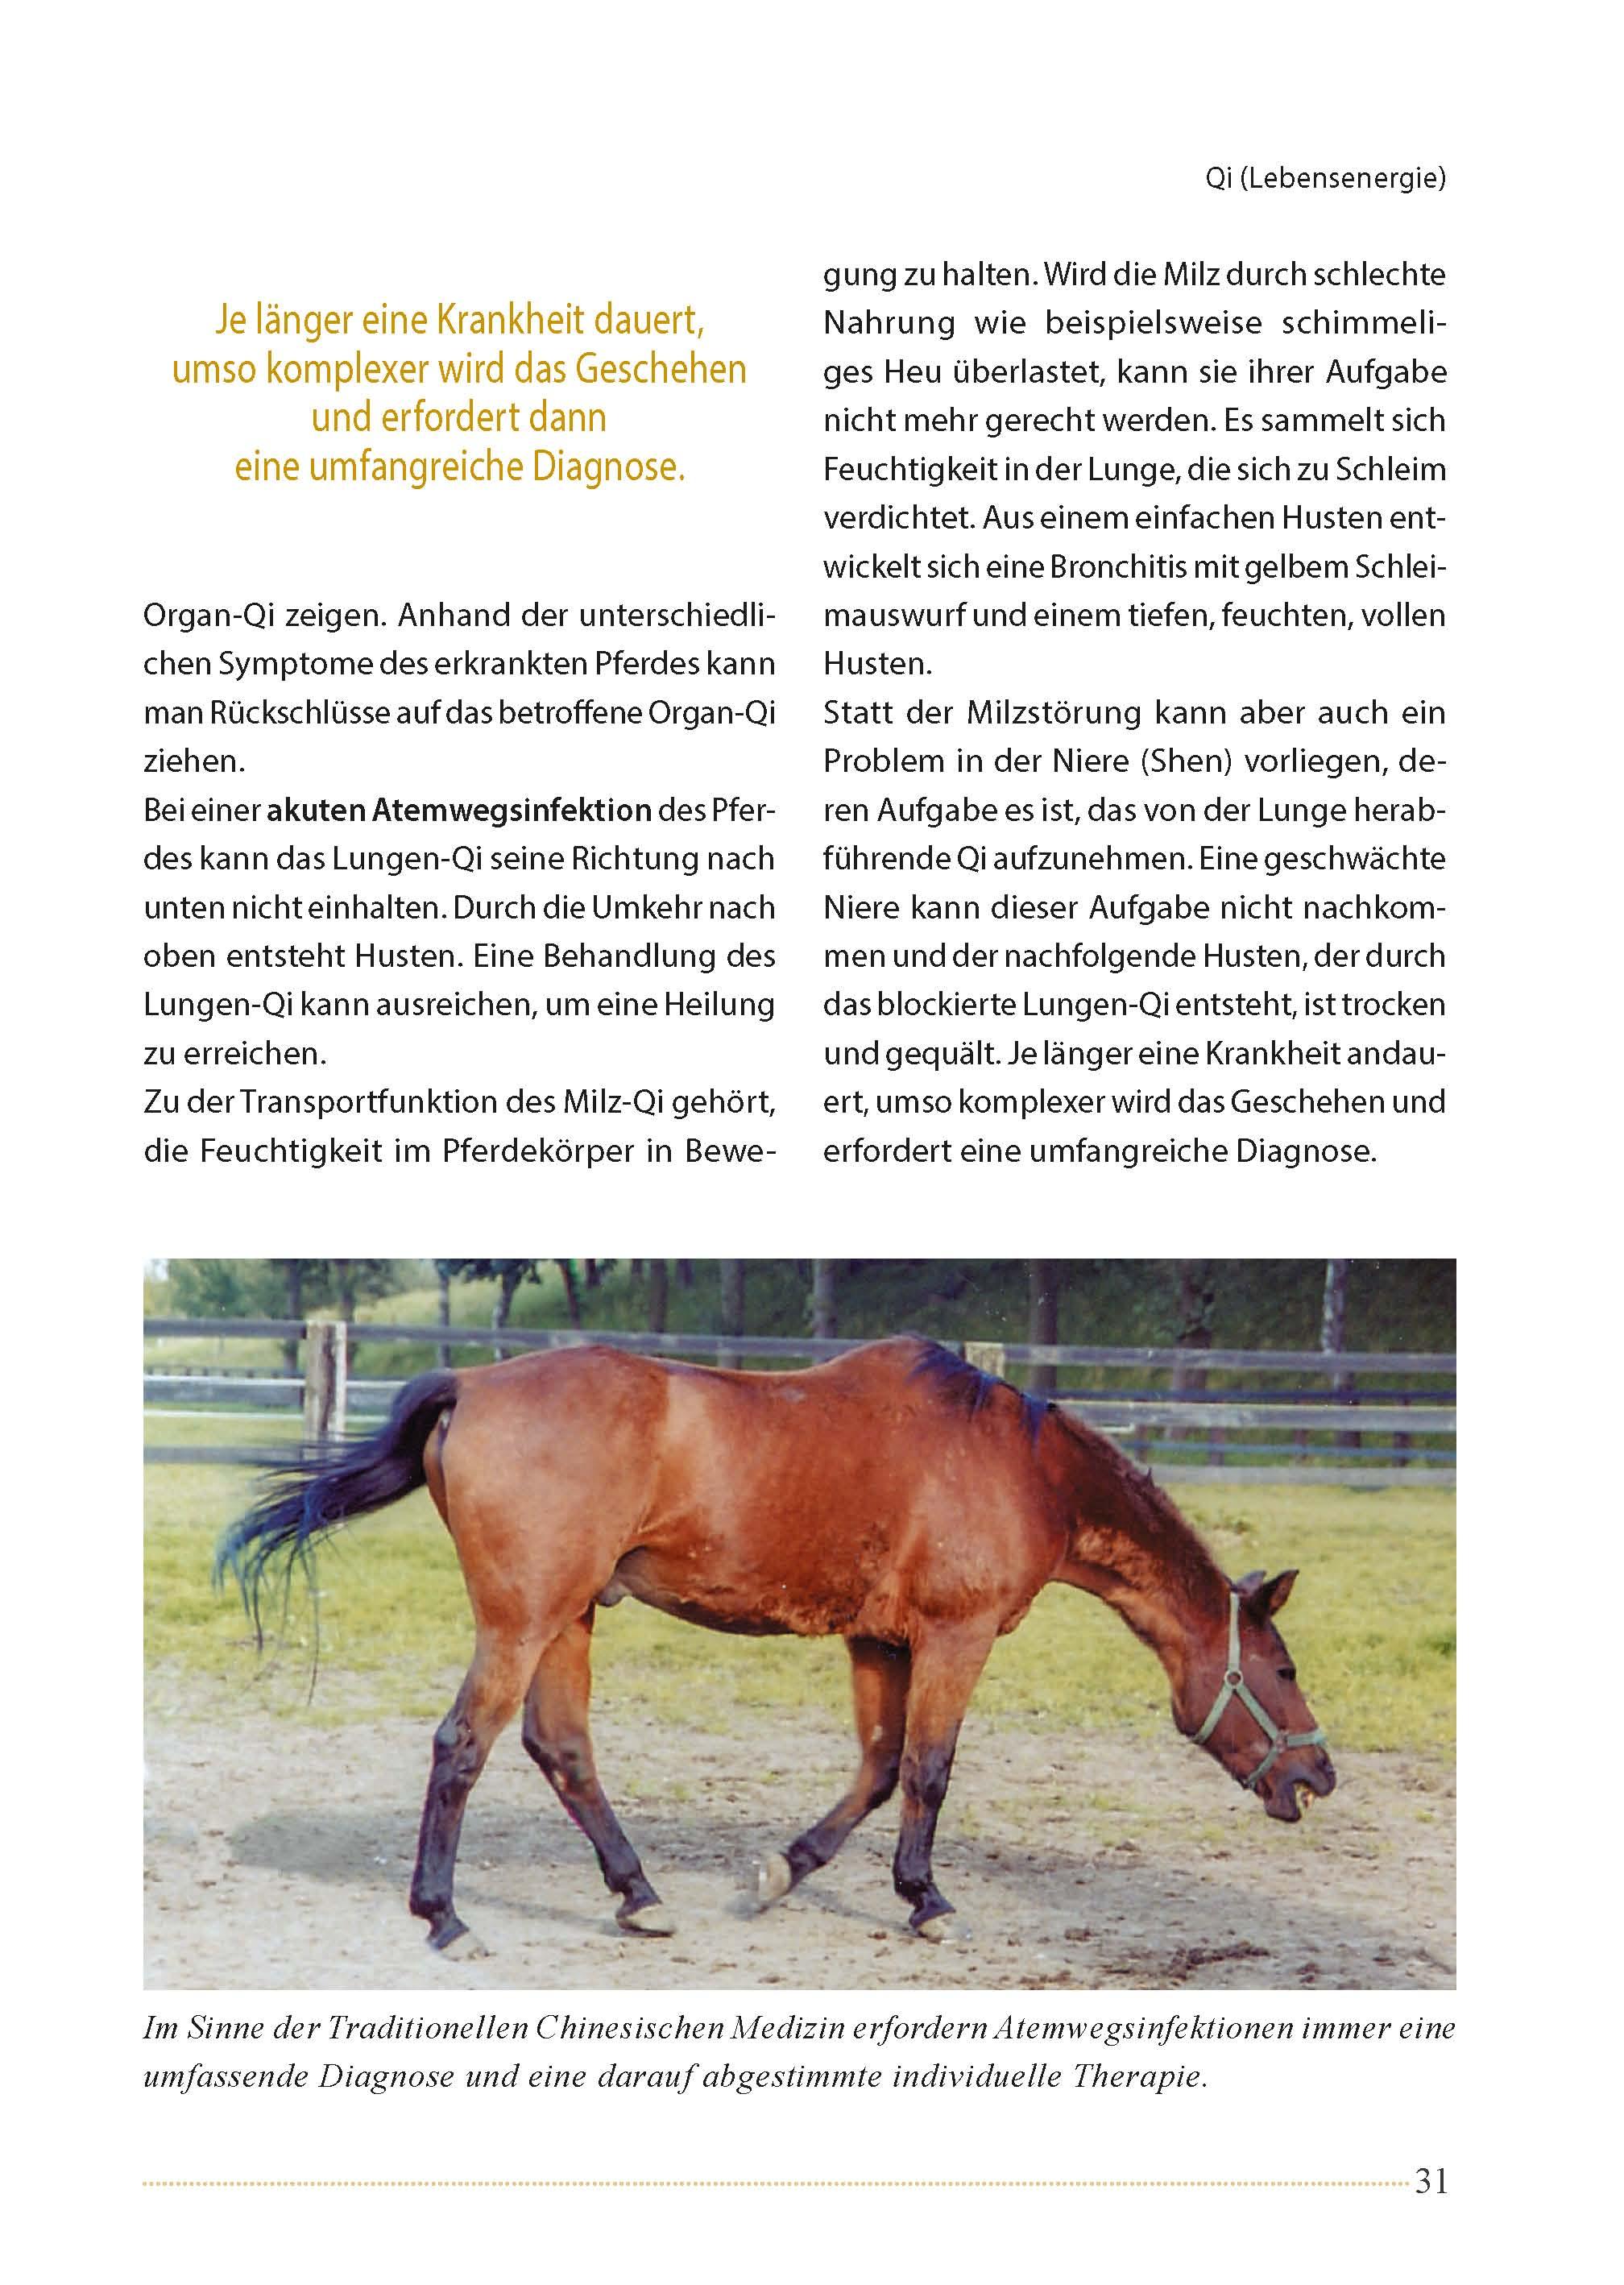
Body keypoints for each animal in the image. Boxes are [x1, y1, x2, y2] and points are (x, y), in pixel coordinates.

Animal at [216, 1336, 1335, 1953]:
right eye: (1282, 1668)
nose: (1318, 1777)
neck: (1027, 1471)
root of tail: (472, 1386)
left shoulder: (881, 1641)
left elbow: (879, 1769)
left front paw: (784, 1872)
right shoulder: (955, 1638)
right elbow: (929, 1769)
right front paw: (928, 1901)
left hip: (569, 1617)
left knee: (561, 1748)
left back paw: (638, 1897)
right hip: (523, 1619)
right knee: (464, 1745)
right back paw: (445, 1916)